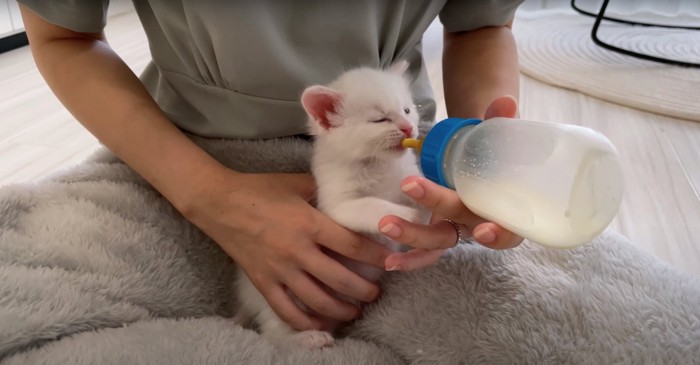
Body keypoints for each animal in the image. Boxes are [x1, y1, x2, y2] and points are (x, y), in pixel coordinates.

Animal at [234, 61, 426, 348]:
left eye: (406, 110)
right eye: (379, 119)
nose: (407, 128)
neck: (377, 163)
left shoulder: (405, 175)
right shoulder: (336, 206)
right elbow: (371, 205)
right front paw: (405, 216)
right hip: (279, 300)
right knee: (273, 334)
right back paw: (309, 338)